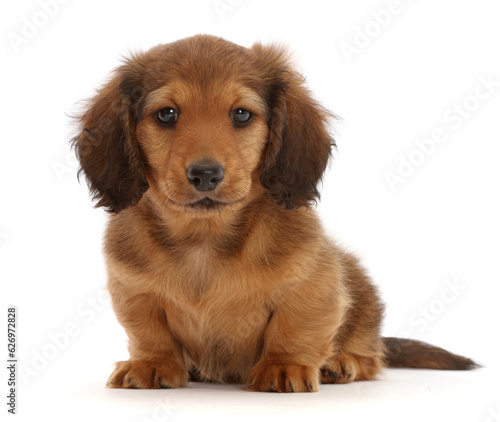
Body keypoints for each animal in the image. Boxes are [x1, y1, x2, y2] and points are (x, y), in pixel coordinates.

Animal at [73, 33, 476, 392]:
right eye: (166, 114)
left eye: (241, 114)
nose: (205, 174)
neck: (204, 238)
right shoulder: (133, 291)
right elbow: (150, 332)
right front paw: (151, 363)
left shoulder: (315, 285)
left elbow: (295, 327)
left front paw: (285, 366)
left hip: (360, 293)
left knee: (372, 355)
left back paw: (341, 363)